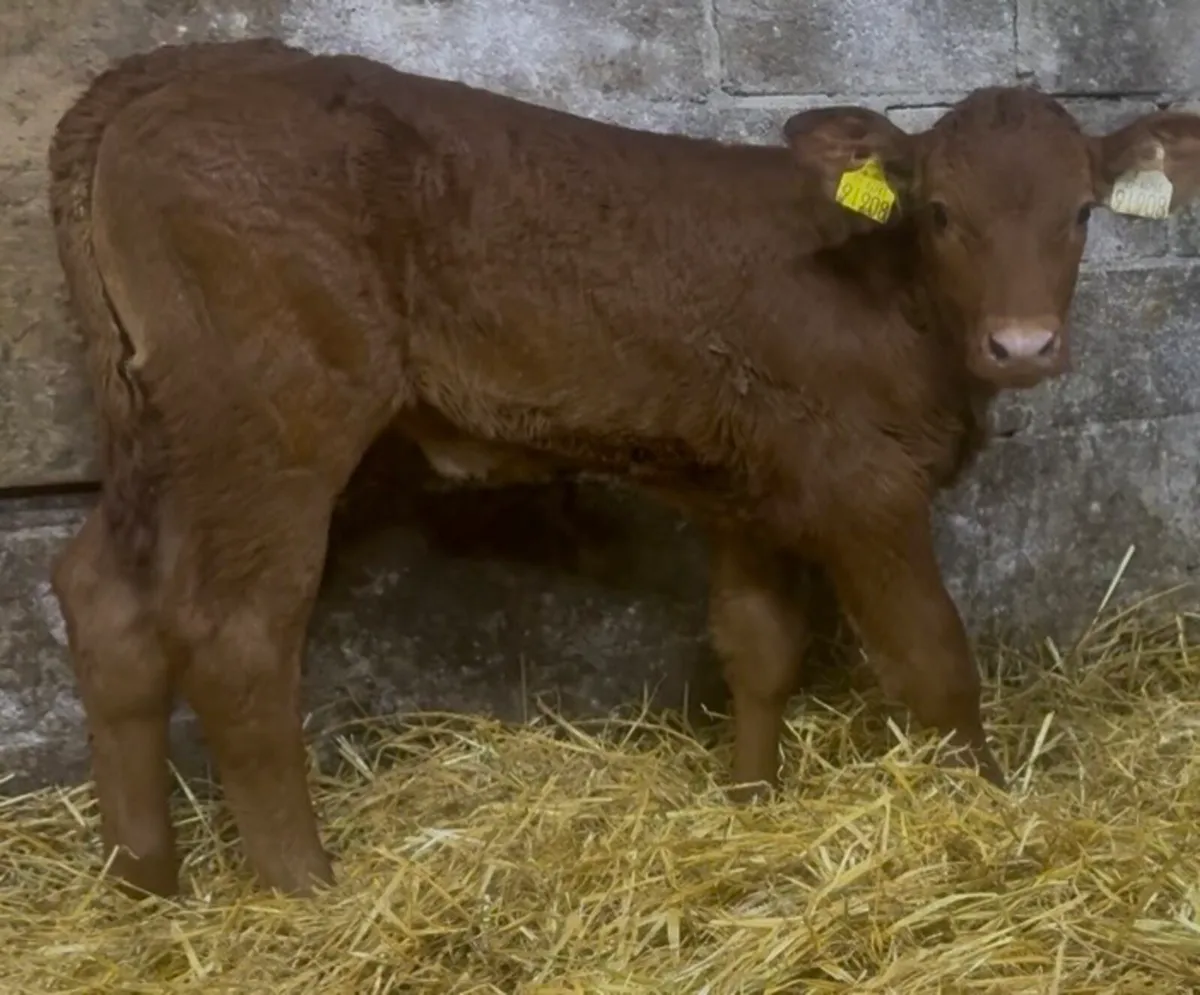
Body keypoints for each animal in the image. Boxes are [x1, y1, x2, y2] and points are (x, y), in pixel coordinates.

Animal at [45, 37, 1200, 899]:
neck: (894, 298)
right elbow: (932, 657)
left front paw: (750, 804)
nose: (1024, 345)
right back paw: (306, 888)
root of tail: (178, 69)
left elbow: (759, 646)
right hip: (272, 423)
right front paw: (994, 813)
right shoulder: (863, 486)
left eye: (1082, 212)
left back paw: (144, 880)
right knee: (236, 631)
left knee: (106, 596)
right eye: (943, 212)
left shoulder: (749, 487)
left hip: (162, 422)